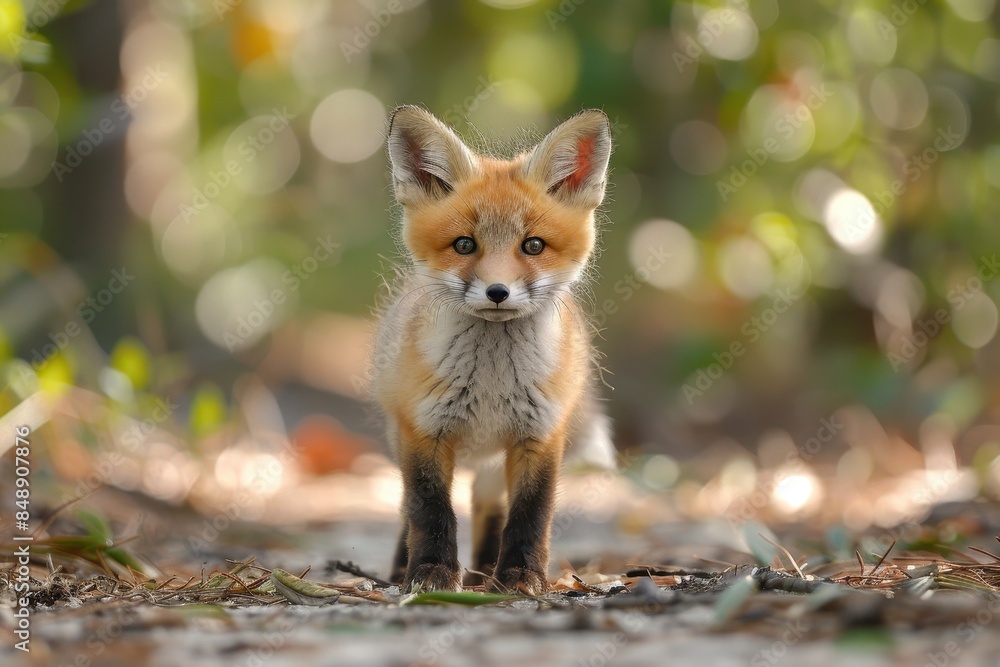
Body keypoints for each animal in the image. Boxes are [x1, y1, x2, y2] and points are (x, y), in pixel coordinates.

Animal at [372, 105, 614, 595]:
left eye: (533, 245)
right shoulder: (423, 431)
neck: (490, 383)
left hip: (494, 463)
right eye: (465, 244)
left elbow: (530, 515)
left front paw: (521, 577)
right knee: (408, 507)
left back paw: (485, 572)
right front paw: (430, 573)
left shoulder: (539, 435)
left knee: (489, 507)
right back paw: (405, 569)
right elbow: (429, 511)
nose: (498, 292)